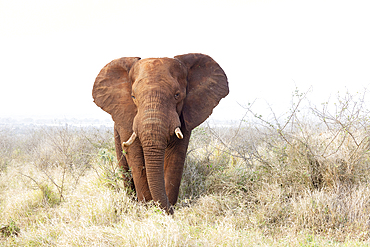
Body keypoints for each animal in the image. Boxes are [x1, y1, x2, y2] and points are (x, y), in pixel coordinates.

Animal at [92, 53, 228, 213]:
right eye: (133, 97)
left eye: (177, 95)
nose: (169, 208)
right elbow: (136, 157)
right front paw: (147, 209)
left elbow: (176, 157)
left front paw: (165, 211)